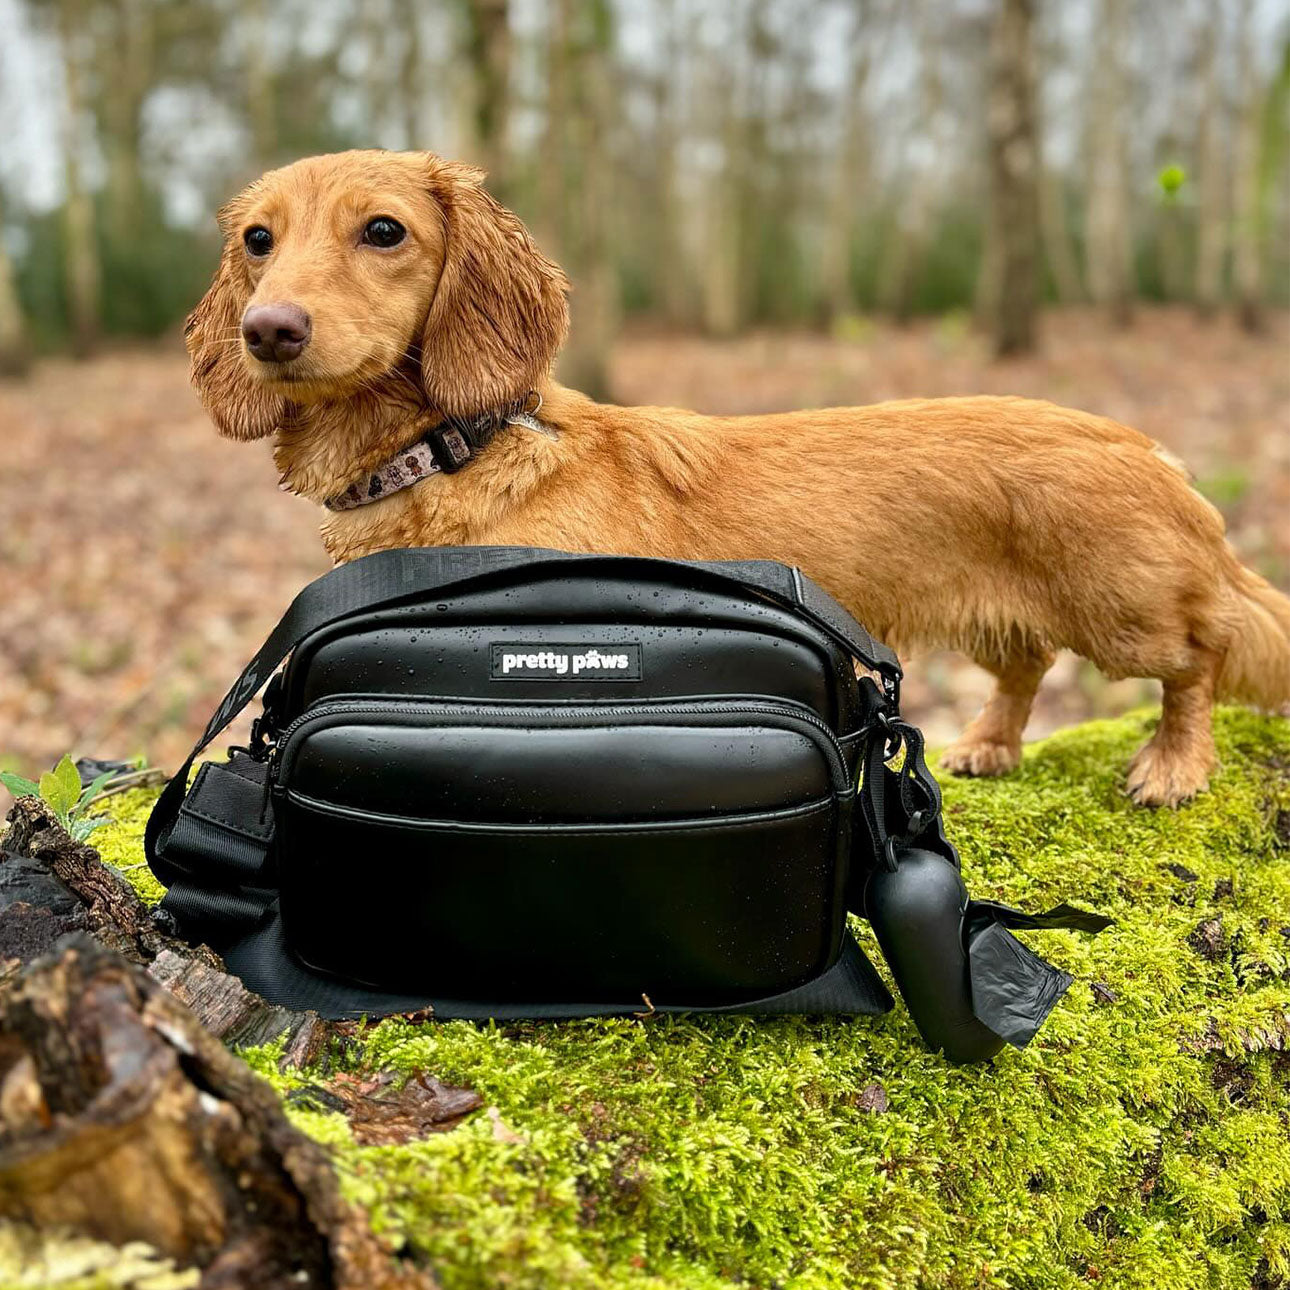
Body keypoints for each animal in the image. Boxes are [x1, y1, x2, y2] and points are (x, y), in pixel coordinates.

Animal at [187, 150, 1284, 804]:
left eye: (384, 230)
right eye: (258, 240)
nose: (268, 330)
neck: (458, 448)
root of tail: (1147, 448)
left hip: (1124, 611)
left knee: (1199, 656)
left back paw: (1174, 766)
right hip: (998, 618)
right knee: (1026, 667)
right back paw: (987, 743)